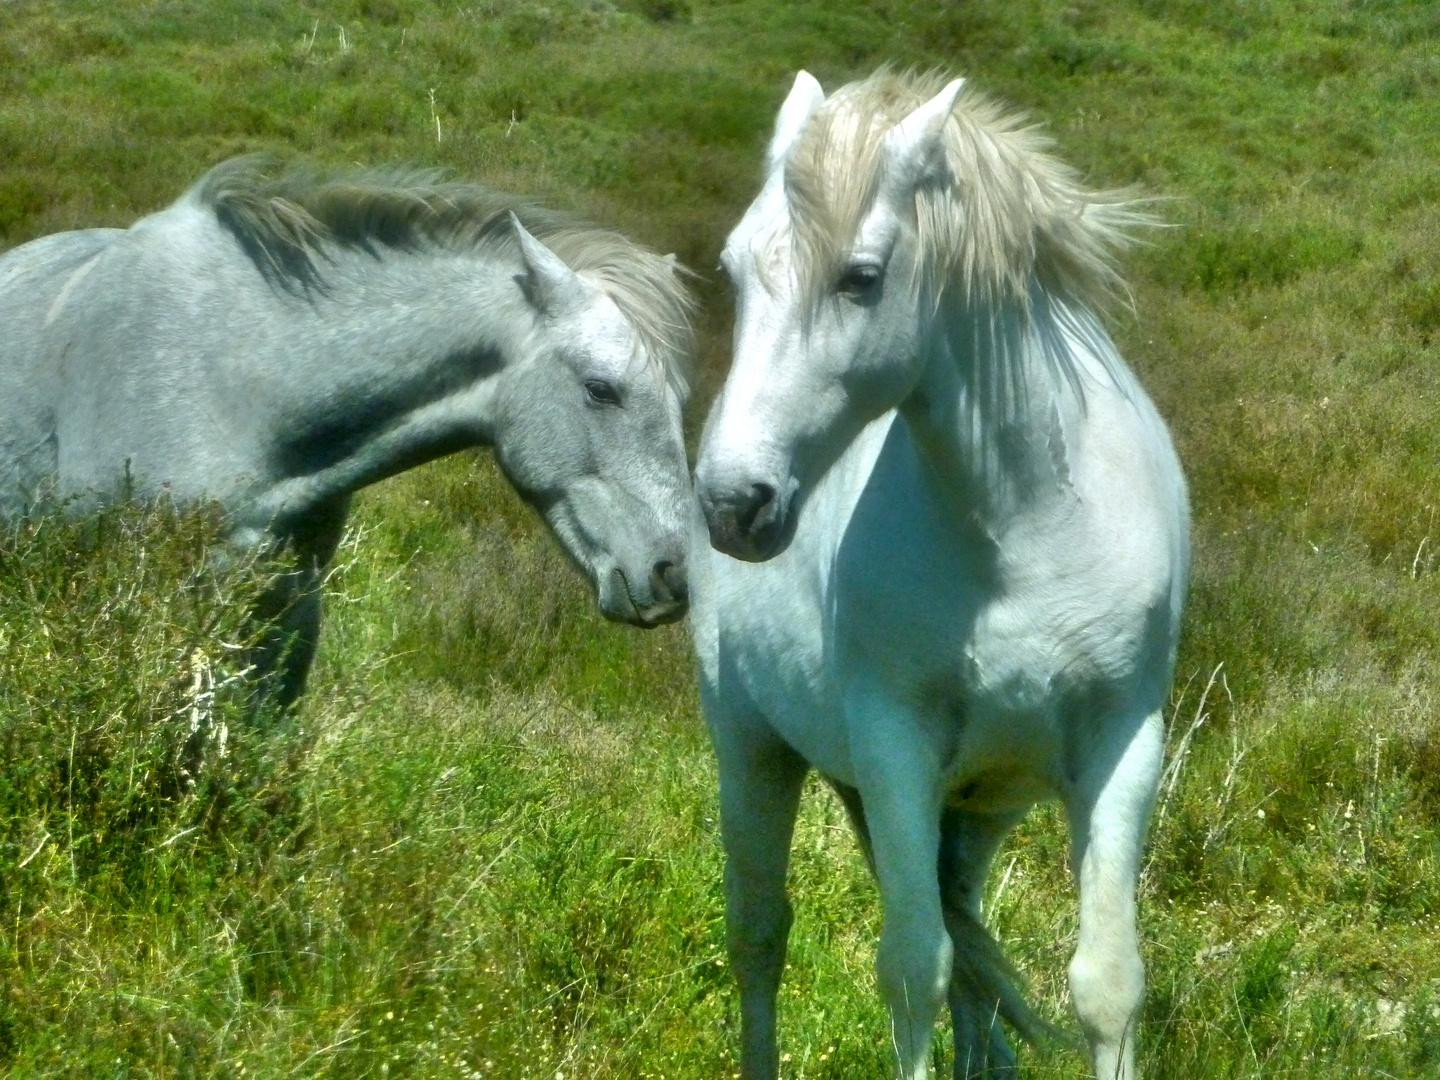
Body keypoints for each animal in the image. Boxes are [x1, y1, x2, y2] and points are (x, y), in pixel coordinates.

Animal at [691, 69, 1186, 1080]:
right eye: (730, 269)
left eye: (859, 278)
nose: (733, 504)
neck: (1026, 523)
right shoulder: (895, 750)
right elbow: (915, 970)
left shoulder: (1123, 744)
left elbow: (1107, 983)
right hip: (751, 749)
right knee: (760, 937)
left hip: (979, 808)